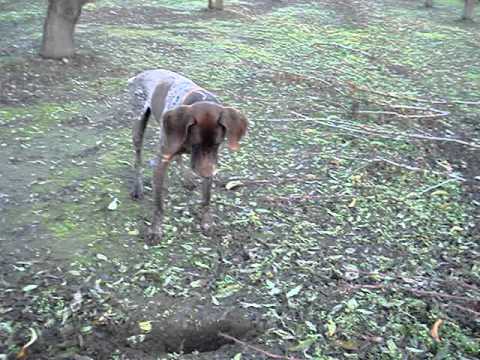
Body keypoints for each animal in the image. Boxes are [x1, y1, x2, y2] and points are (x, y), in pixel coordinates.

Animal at [128, 69, 248, 245]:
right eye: (196, 143)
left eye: (218, 143)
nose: (207, 174)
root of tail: (142, 74)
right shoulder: (162, 162)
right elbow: (159, 206)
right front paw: (155, 230)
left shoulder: (209, 164)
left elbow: (206, 199)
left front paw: (207, 222)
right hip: (138, 125)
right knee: (138, 158)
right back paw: (137, 187)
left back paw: (187, 179)